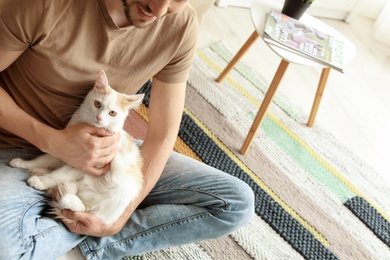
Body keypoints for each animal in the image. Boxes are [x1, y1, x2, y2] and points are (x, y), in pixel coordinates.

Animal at [10, 70, 145, 224]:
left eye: (112, 113)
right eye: (97, 104)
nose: (99, 118)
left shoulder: (84, 167)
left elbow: (58, 175)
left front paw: (41, 181)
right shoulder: (61, 151)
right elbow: (41, 160)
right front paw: (22, 163)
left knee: (85, 209)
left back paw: (69, 199)